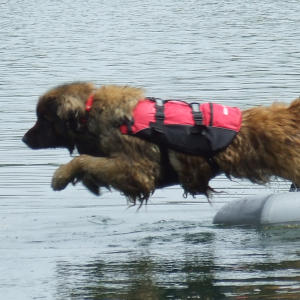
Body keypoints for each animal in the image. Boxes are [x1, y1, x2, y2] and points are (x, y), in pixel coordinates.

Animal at [22, 82, 300, 204]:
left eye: (43, 119)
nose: (24, 139)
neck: (91, 111)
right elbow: (92, 163)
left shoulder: (138, 171)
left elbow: (85, 160)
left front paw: (61, 176)